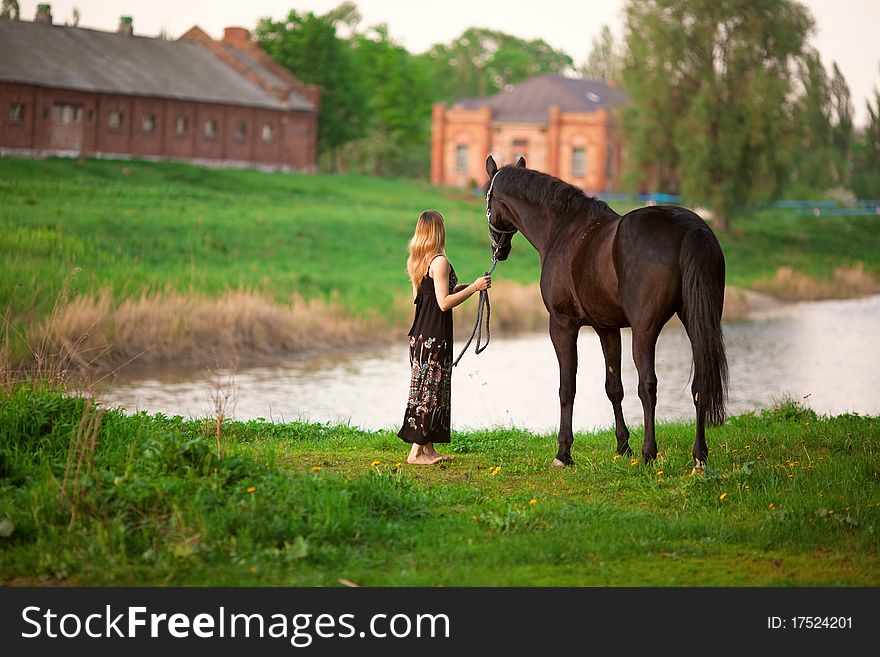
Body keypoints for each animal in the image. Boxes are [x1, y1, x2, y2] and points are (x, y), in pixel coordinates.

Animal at [484, 156, 724, 468]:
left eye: (487, 198)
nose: (498, 251)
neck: (563, 229)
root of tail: (689, 227)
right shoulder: (606, 327)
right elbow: (614, 387)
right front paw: (622, 446)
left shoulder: (562, 324)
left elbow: (567, 387)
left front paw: (563, 452)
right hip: (698, 321)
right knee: (699, 383)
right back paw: (699, 456)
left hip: (645, 330)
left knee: (648, 385)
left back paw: (649, 453)